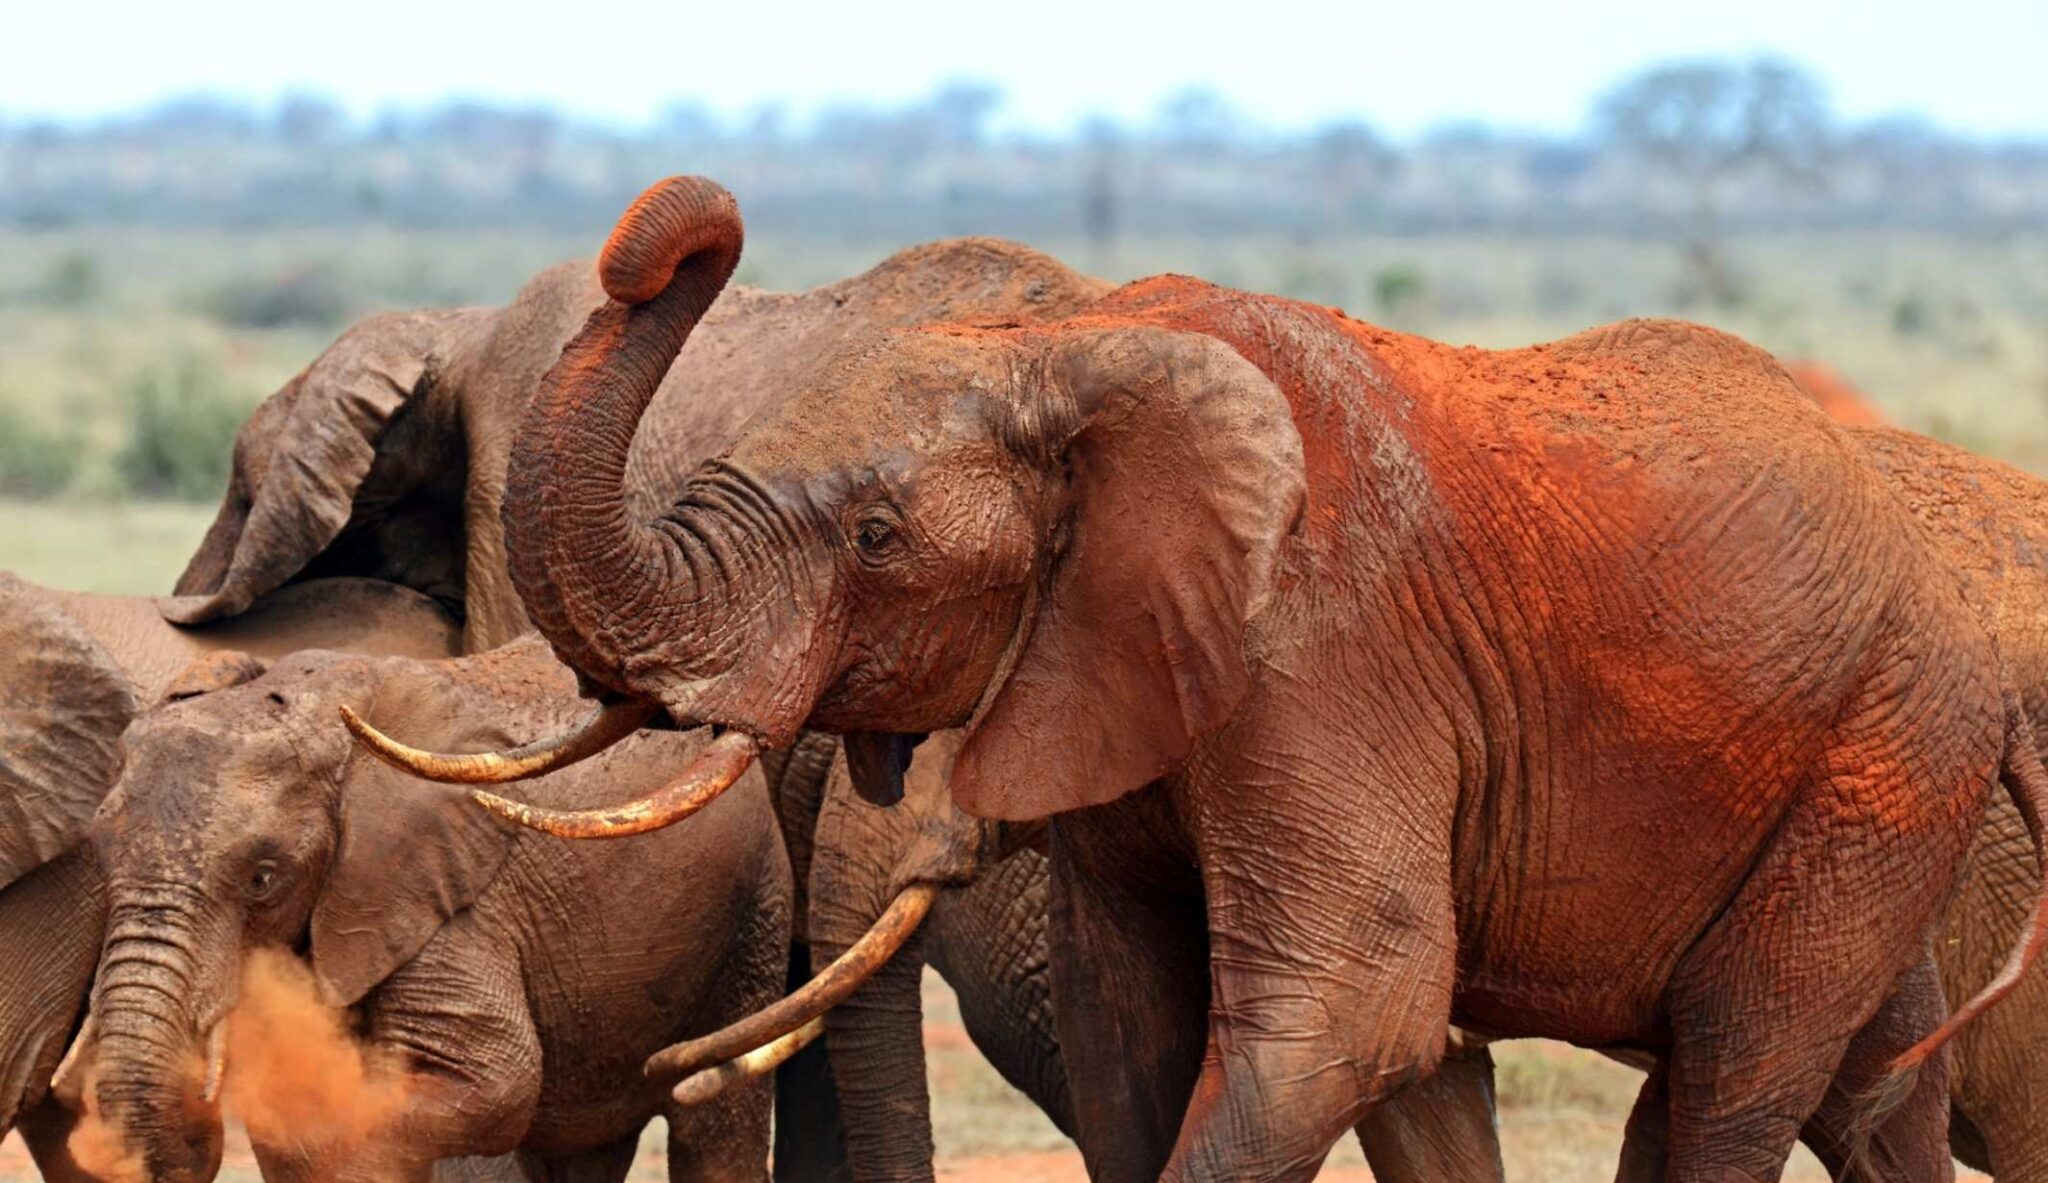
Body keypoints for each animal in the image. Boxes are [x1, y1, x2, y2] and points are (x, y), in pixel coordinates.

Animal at [64, 634, 789, 1183]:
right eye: (99, 855)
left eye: (263, 878)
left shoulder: (446, 903)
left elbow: (491, 1083)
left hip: (755, 911)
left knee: (715, 1125)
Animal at [364, 176, 2048, 1182]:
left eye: (879, 535)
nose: (684, 224)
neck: (1067, 349)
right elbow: (1135, 1020)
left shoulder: (1327, 655)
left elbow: (1350, 1009)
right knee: (1854, 1077)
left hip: (1886, 747)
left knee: (1733, 1070)